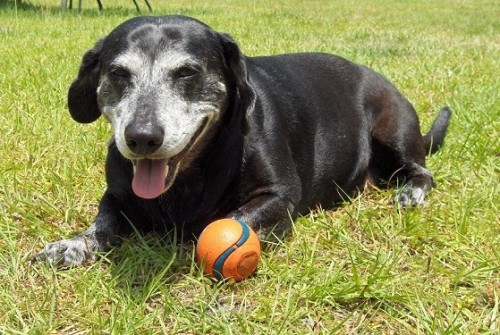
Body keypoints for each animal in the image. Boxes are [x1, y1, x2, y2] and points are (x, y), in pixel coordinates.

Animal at [33, 15, 452, 268]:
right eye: (118, 73)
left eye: (187, 72)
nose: (141, 137)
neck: (190, 176)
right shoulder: (116, 195)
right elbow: (103, 222)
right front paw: (73, 244)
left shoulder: (279, 195)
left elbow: (227, 222)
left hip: (394, 130)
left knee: (422, 171)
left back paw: (411, 192)